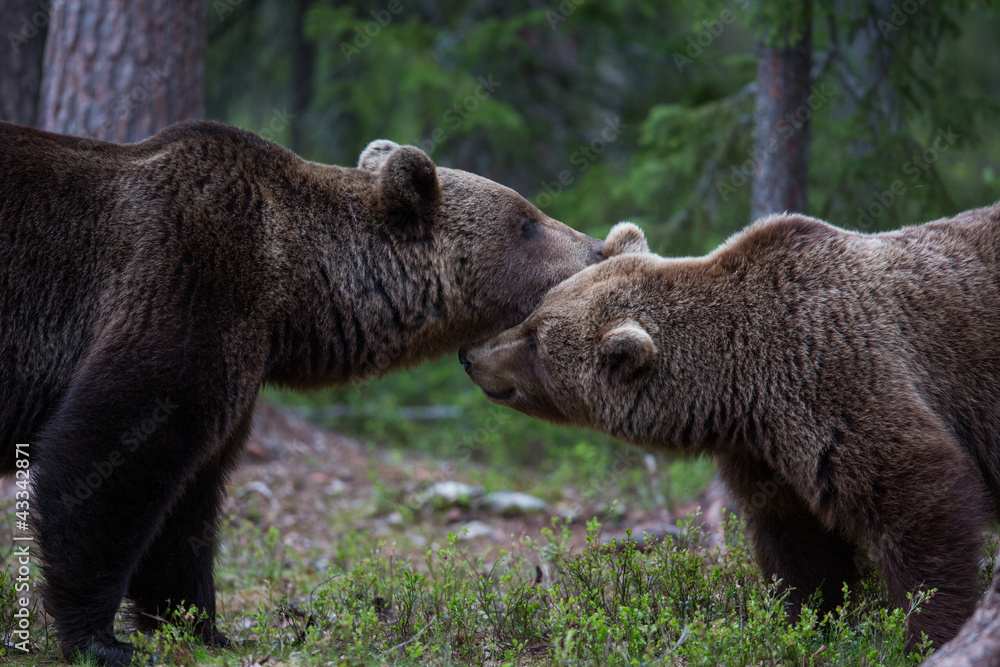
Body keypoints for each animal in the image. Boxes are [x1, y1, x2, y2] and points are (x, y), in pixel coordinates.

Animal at [0, 119, 604, 666]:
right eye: (527, 221)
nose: (598, 247)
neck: (292, 291)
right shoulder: (187, 278)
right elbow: (110, 455)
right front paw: (101, 639)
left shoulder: (236, 360)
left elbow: (189, 499)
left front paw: (202, 627)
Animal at [460, 206, 1000, 650]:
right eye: (533, 311)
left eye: (534, 338)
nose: (470, 354)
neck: (744, 388)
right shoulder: (766, 453)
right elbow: (797, 541)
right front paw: (806, 620)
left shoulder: (841, 376)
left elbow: (919, 498)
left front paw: (928, 633)